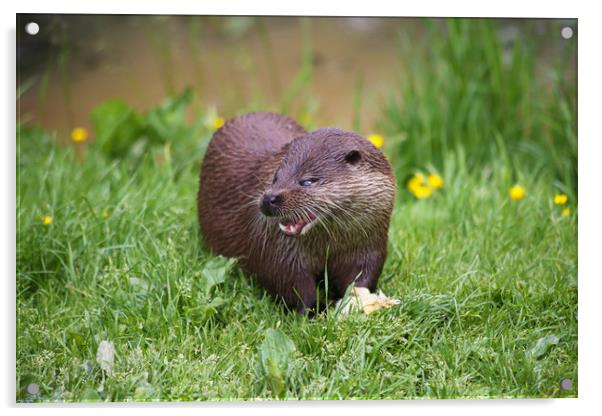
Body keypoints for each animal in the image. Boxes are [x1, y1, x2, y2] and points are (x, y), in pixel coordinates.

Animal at [196, 112, 394, 314]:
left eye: (307, 181)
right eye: (276, 177)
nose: (268, 198)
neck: (329, 246)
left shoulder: (369, 246)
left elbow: (363, 276)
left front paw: (355, 301)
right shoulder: (280, 253)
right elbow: (292, 284)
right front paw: (314, 312)